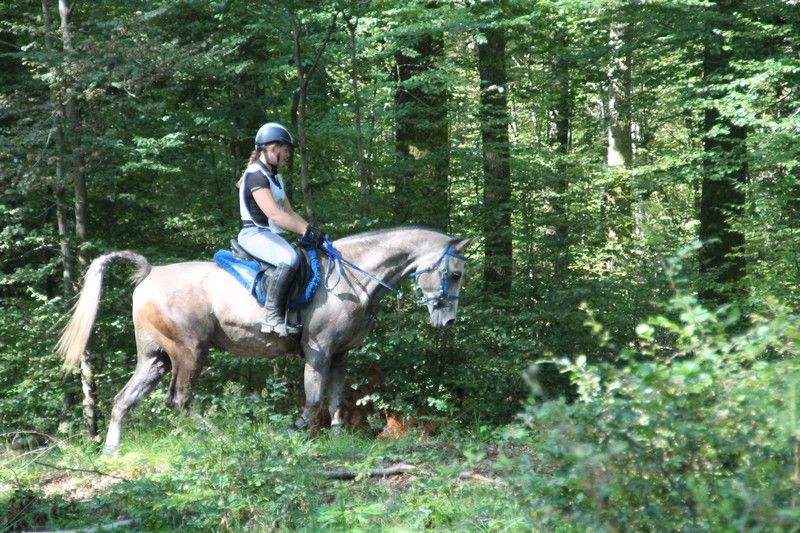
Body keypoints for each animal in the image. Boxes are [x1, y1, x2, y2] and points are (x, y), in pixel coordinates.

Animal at [56, 226, 473, 454]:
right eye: (454, 274)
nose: (448, 320)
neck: (354, 278)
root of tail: (150, 273)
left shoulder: (340, 355)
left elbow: (336, 400)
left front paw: (339, 439)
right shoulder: (319, 351)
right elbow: (313, 400)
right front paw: (290, 434)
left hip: (155, 356)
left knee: (124, 400)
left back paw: (111, 452)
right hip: (190, 352)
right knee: (179, 399)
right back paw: (220, 438)